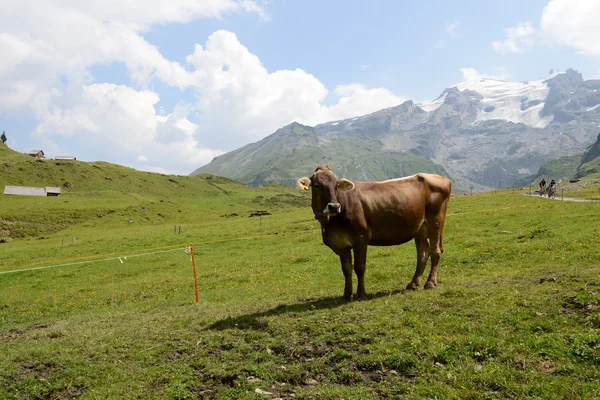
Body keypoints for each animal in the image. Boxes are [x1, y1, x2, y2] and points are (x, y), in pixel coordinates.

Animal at [296, 164, 450, 298]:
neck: (330, 224)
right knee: (423, 254)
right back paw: (413, 284)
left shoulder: (361, 238)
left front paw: (361, 294)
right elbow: (346, 269)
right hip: (420, 229)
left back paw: (430, 283)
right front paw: (347, 294)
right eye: (317, 186)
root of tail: (441, 177)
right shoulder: (341, 244)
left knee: (435, 251)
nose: (334, 206)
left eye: (336, 186)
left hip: (436, 222)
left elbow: (359, 267)